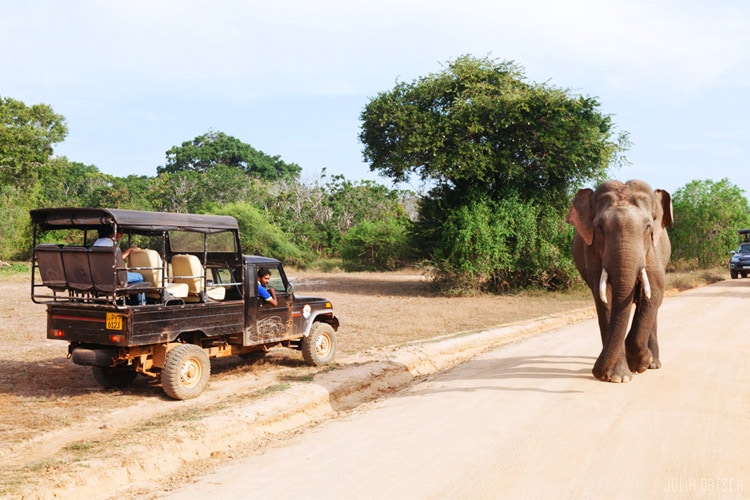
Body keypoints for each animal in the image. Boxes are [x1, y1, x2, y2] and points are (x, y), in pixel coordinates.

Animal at [568, 180, 676, 382]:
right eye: (599, 227)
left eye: (648, 227)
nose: (595, 373)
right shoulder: (592, 253)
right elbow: (605, 300)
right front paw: (619, 377)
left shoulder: (654, 251)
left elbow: (653, 293)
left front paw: (643, 363)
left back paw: (654, 364)